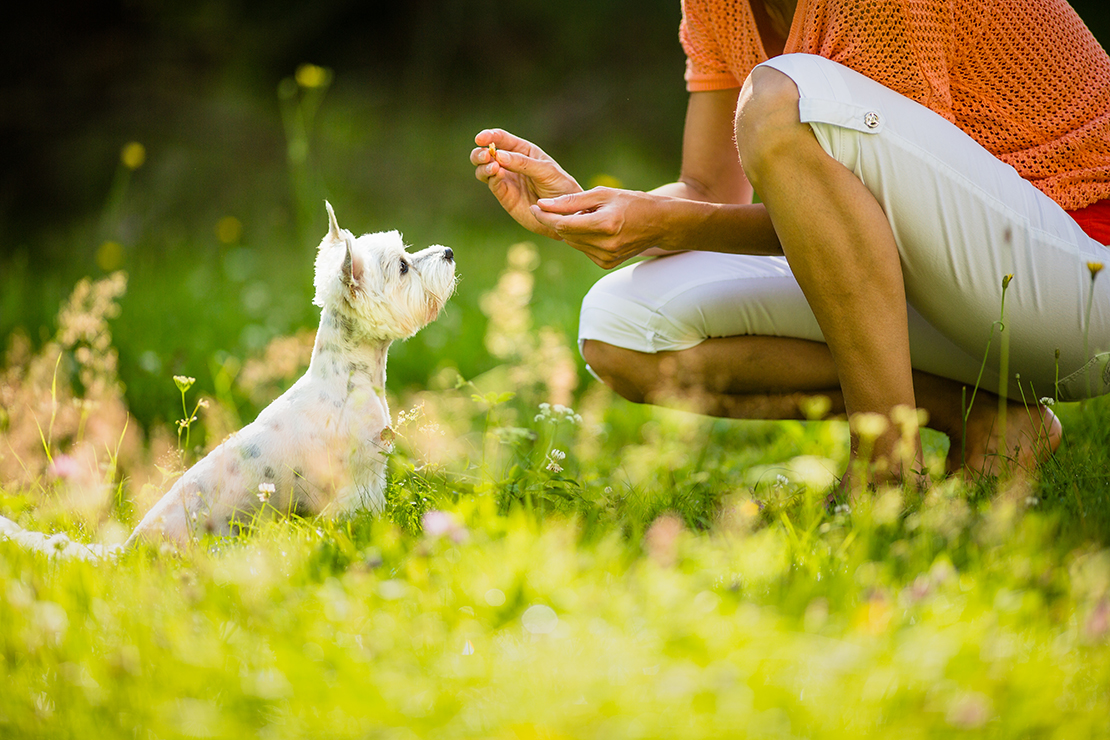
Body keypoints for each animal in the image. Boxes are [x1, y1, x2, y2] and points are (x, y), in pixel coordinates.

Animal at [0, 203, 455, 554]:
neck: (348, 379)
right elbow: (362, 520)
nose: (449, 250)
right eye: (402, 266)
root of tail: (128, 549)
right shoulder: (357, 484)